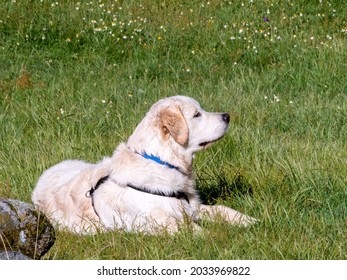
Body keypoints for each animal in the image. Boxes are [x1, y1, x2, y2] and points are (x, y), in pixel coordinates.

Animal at [32, 96, 256, 234]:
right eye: (196, 114)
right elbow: (190, 229)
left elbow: (222, 209)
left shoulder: (191, 206)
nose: (227, 116)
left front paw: (249, 221)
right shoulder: (155, 221)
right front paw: (215, 236)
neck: (162, 161)